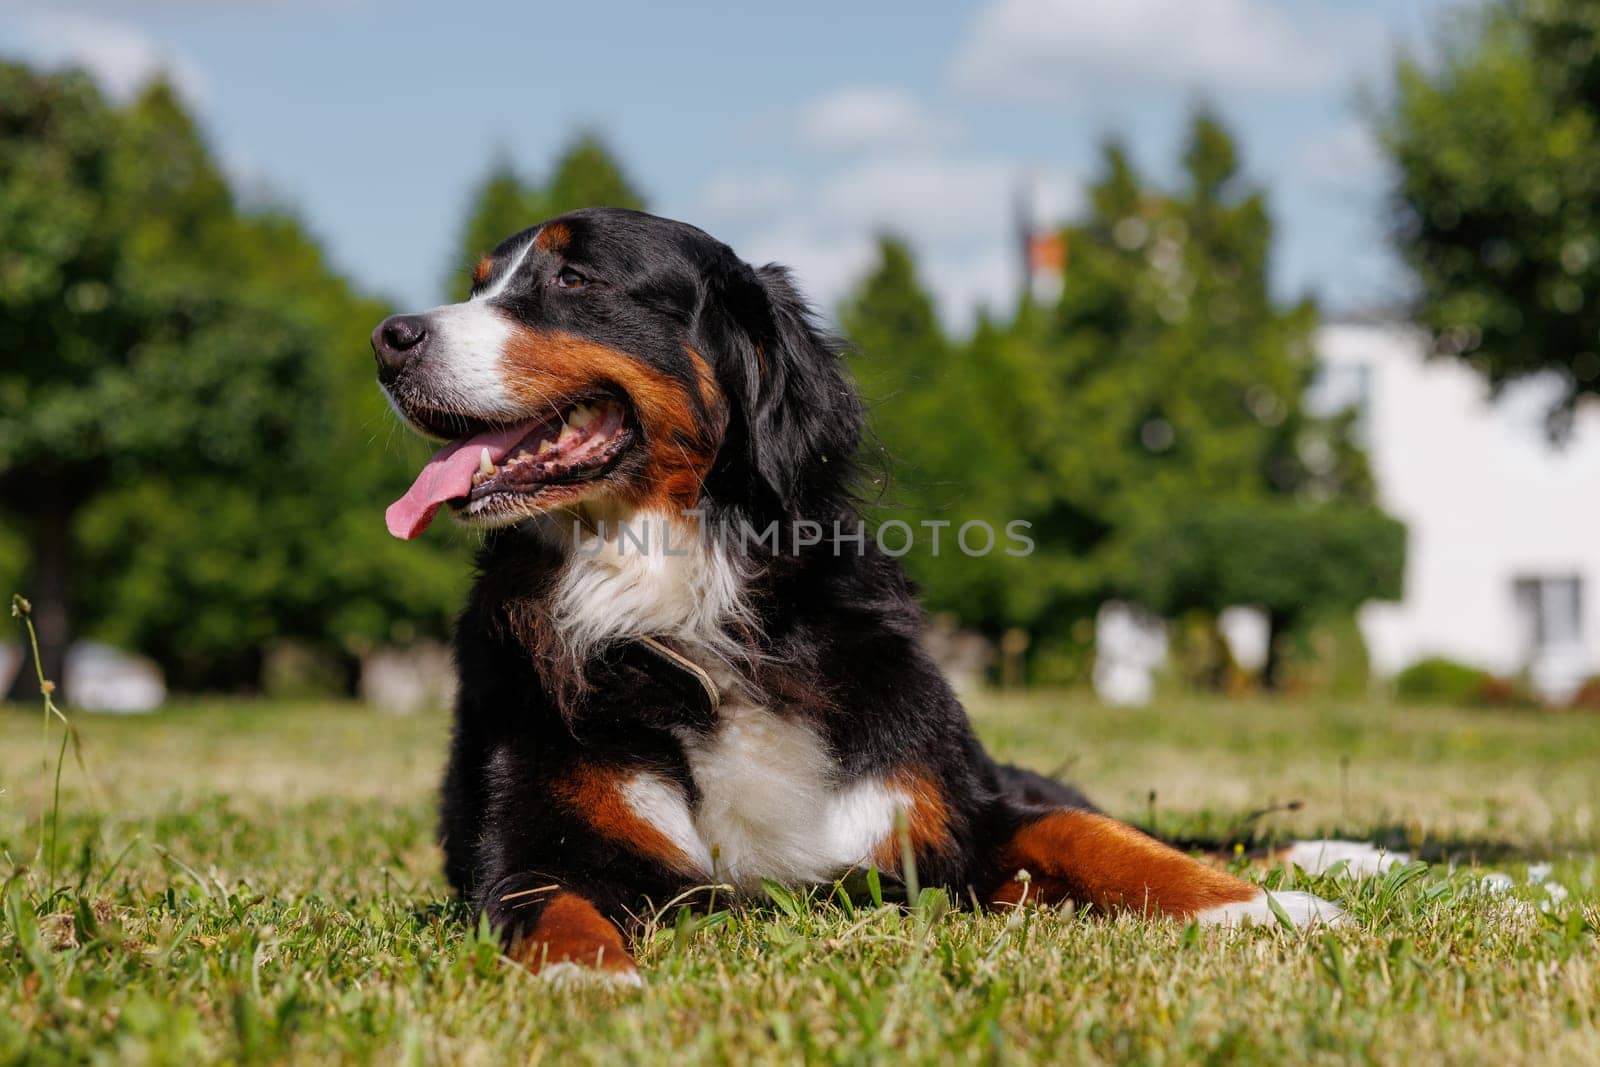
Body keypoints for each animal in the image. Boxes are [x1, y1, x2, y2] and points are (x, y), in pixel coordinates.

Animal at [371, 207, 1337, 991]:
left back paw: (1341, 852)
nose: (388, 338)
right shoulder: (532, 846)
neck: (683, 607)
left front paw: (1262, 908)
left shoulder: (954, 809)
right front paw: (587, 980)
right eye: (480, 283)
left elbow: (1094, 834)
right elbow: (557, 907)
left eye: (573, 279)